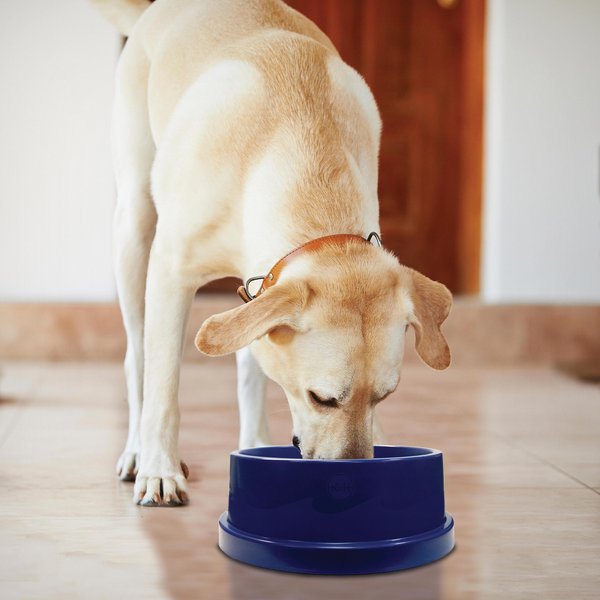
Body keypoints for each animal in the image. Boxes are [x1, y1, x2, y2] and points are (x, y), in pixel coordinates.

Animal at [92, 0, 450, 506]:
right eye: (322, 398)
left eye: (383, 396)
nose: (353, 489)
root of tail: (155, 10)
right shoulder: (170, 272)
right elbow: (164, 387)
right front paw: (160, 470)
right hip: (133, 225)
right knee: (138, 357)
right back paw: (136, 452)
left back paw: (255, 442)